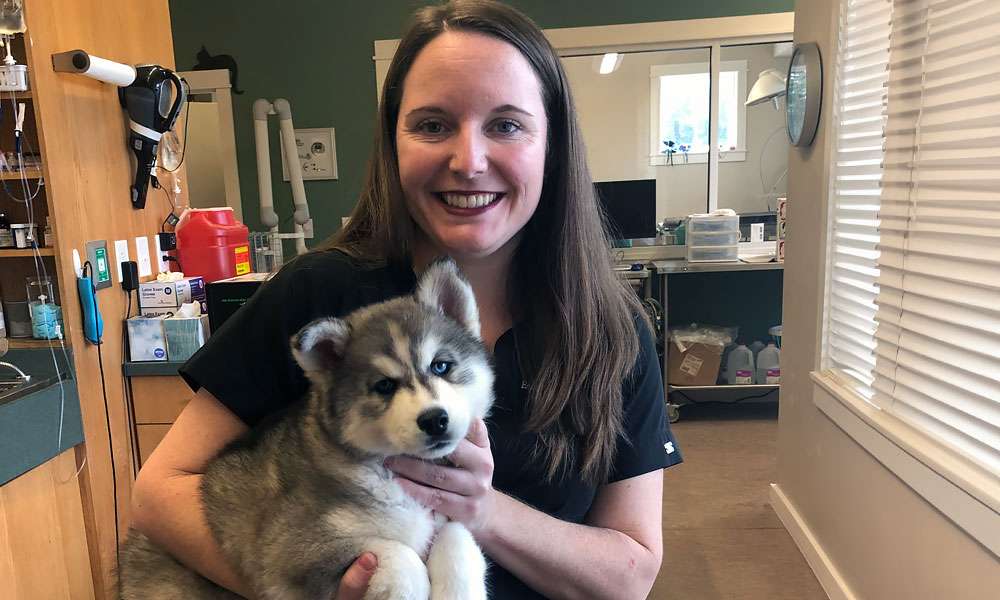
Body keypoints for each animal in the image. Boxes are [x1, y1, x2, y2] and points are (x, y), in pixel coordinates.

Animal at [119, 260, 494, 600]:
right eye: (385, 386)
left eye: (441, 366)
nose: (435, 419)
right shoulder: (293, 549)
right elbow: (399, 556)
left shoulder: (446, 516)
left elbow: (459, 539)